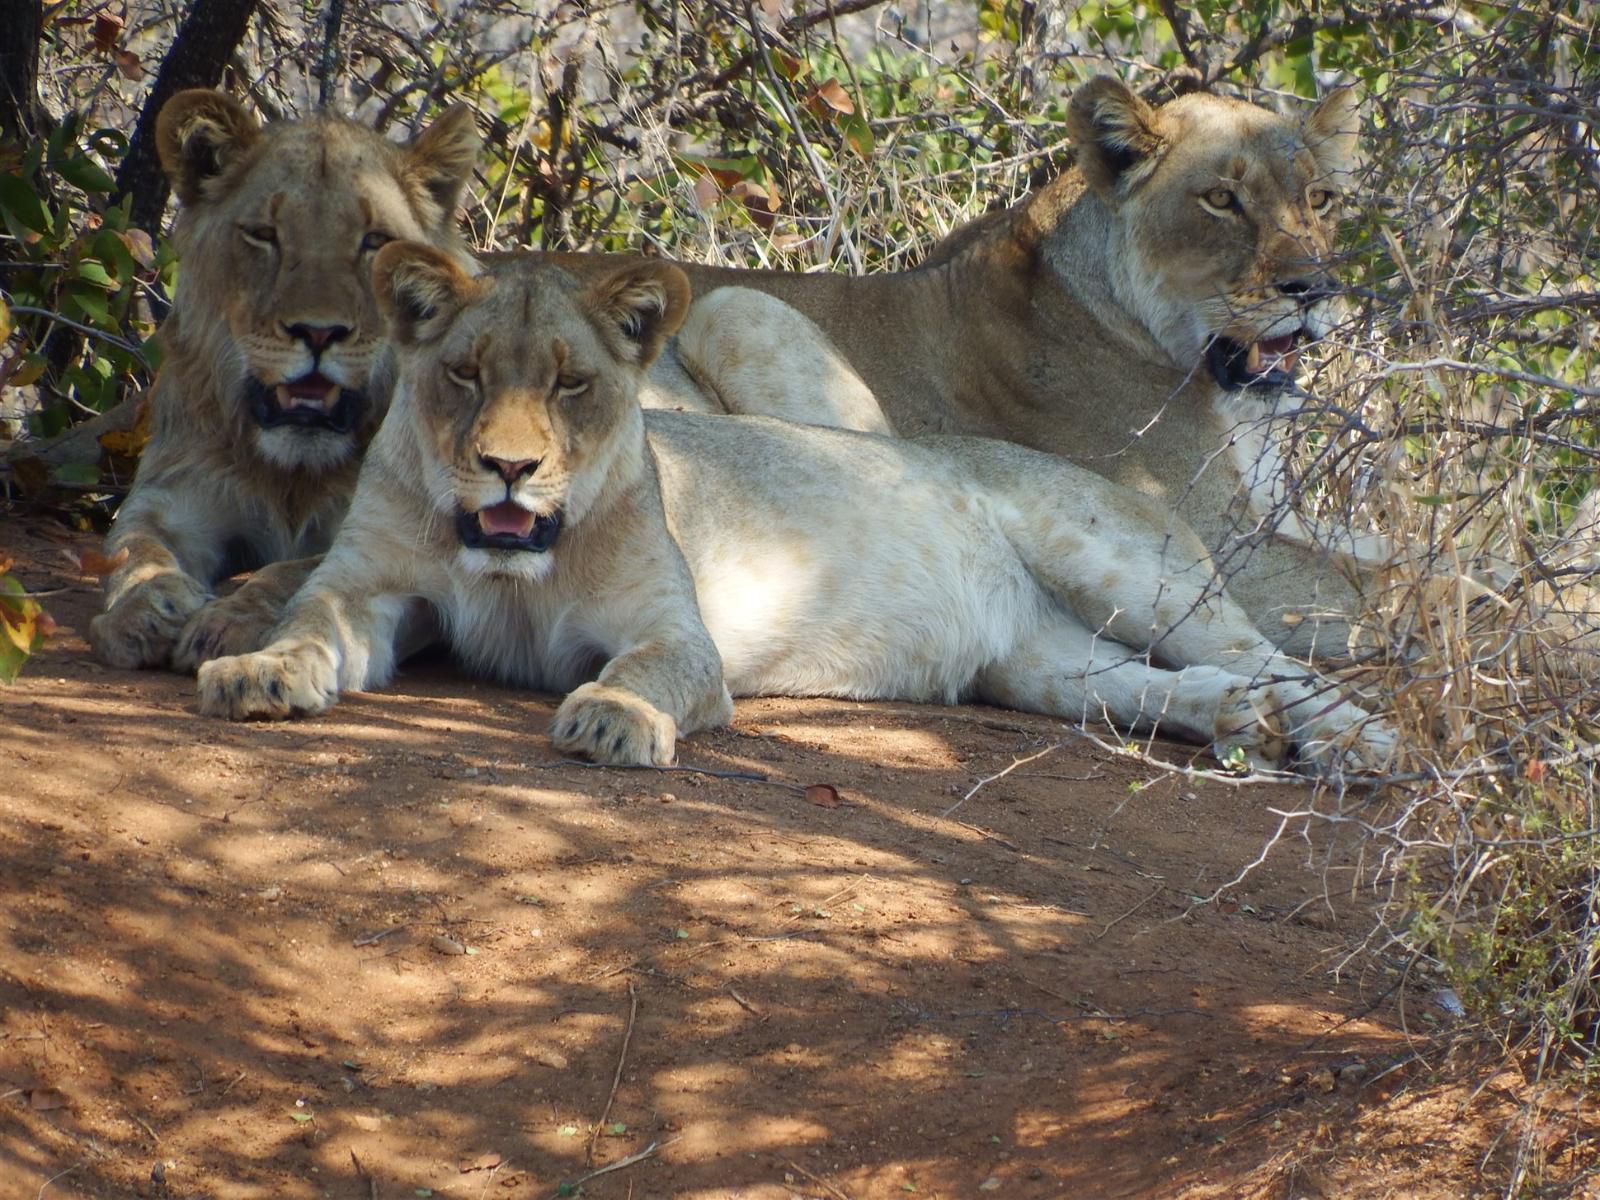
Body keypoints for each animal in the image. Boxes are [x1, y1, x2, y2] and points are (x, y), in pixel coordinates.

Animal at [86, 91, 476, 678]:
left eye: (374, 241)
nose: (318, 332)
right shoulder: (179, 490)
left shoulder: (388, 538)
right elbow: (132, 546)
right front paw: (146, 611)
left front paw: (228, 623)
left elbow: (294, 573)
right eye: (265, 235)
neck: (292, 473)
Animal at [193, 248, 1395, 774]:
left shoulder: (672, 628)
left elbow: (646, 671)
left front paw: (614, 720)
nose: (507, 470)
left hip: (1121, 564)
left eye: (573, 384)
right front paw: (257, 667)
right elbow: (310, 618)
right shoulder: (372, 589)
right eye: (465, 375)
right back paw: (1240, 722)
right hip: (1038, 664)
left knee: (1279, 656)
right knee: (1155, 685)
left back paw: (1353, 744)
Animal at [544, 80, 1382, 662]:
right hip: (735, 305)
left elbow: (1382, 553)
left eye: (1320, 198)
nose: (1314, 288)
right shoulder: (1225, 542)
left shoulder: (1279, 514)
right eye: (1220, 199)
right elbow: (1391, 586)